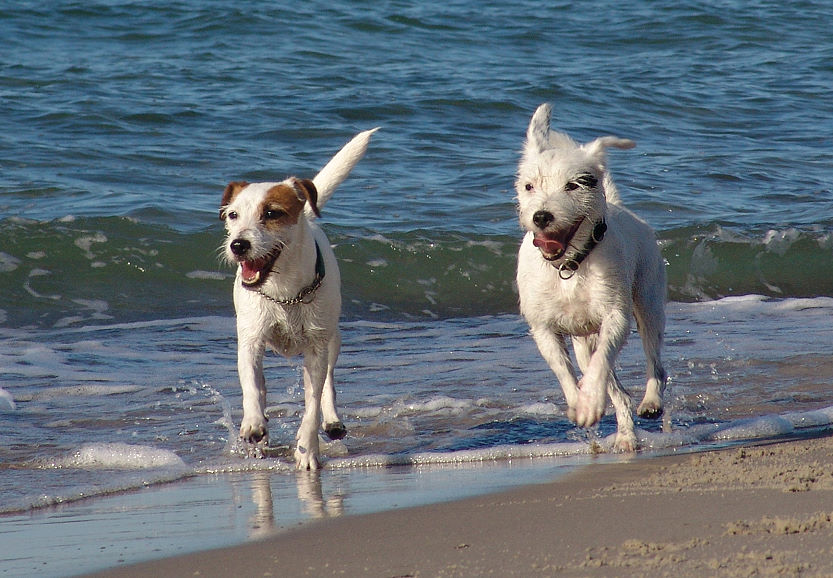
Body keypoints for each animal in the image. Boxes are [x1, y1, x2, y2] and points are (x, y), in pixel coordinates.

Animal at [221, 127, 376, 468]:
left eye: (271, 213)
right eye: (233, 215)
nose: (238, 245)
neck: (284, 293)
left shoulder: (316, 348)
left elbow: (312, 404)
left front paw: (307, 449)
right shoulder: (250, 340)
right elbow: (251, 385)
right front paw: (253, 424)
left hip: (332, 339)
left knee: (327, 382)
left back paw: (331, 421)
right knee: (262, 387)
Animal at [516, 104, 668, 450]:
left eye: (574, 185)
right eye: (529, 186)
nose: (541, 216)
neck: (570, 266)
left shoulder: (615, 317)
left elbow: (602, 364)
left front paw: (590, 402)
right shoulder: (543, 329)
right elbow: (563, 371)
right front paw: (579, 403)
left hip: (649, 303)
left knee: (654, 361)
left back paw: (651, 401)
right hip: (584, 340)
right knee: (616, 390)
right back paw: (624, 434)